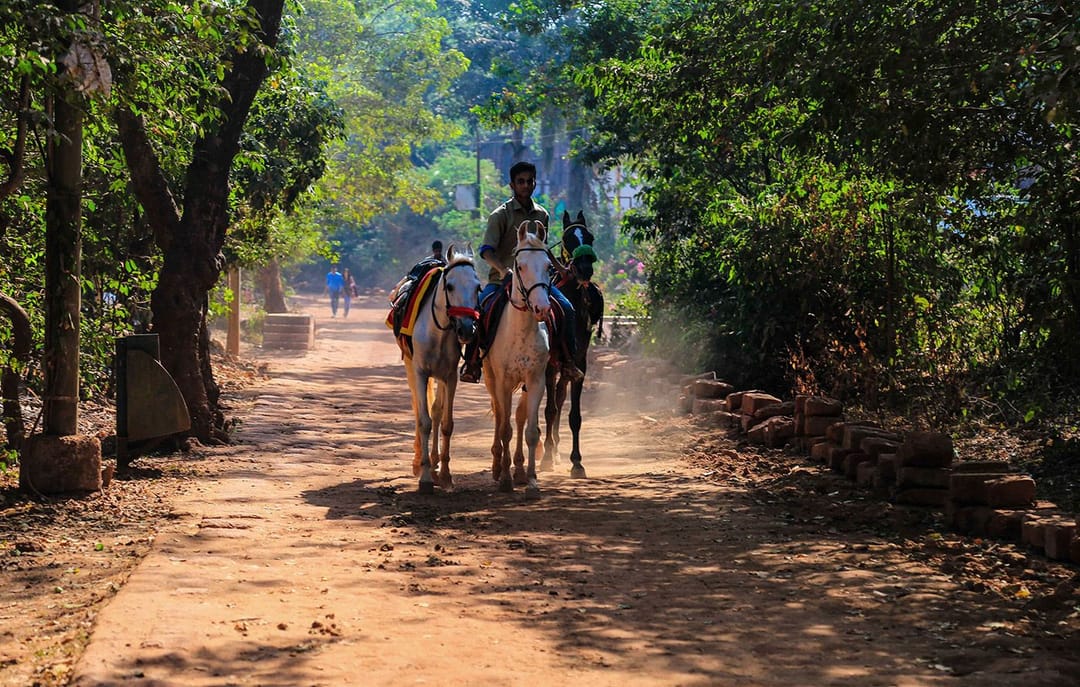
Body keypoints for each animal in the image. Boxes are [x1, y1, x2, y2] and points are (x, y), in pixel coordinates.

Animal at [397, 245, 481, 494]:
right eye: (450, 285)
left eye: (478, 287)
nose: (467, 329)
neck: (438, 332)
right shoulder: (420, 373)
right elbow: (424, 421)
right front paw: (425, 477)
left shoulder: (450, 377)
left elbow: (445, 423)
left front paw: (444, 474)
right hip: (410, 366)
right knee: (418, 409)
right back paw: (419, 462)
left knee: (435, 410)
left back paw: (433, 464)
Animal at [482, 220, 552, 497]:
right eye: (520, 266)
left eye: (549, 266)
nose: (542, 308)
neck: (520, 330)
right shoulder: (503, 381)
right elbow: (505, 428)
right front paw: (504, 479)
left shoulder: (536, 381)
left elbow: (531, 430)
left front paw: (532, 480)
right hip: (491, 378)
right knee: (499, 414)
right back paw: (497, 466)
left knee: (520, 417)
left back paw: (520, 470)